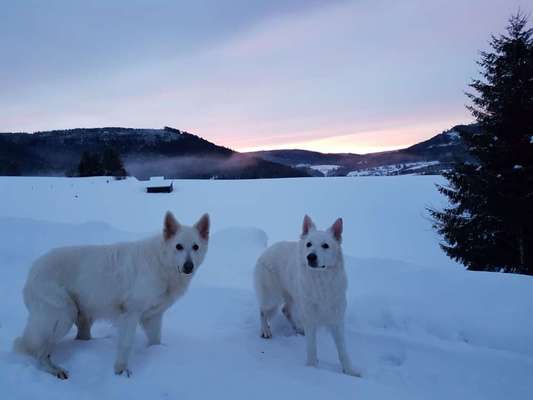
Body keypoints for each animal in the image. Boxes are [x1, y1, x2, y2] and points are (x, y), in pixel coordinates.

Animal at [13, 211, 209, 380]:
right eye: (178, 247)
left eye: (195, 247)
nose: (188, 266)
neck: (161, 263)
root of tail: (32, 271)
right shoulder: (130, 313)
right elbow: (126, 344)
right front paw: (121, 371)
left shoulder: (153, 316)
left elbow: (155, 340)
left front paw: (158, 353)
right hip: (63, 316)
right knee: (40, 354)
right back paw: (55, 369)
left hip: (83, 316)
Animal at [252, 216, 358, 376]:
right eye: (309, 244)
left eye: (325, 246)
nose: (311, 257)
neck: (321, 283)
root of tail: (267, 250)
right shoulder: (310, 318)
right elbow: (312, 348)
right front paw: (312, 368)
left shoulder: (337, 319)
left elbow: (342, 350)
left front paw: (349, 370)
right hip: (272, 298)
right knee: (262, 311)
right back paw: (265, 330)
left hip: (294, 298)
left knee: (286, 310)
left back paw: (298, 328)